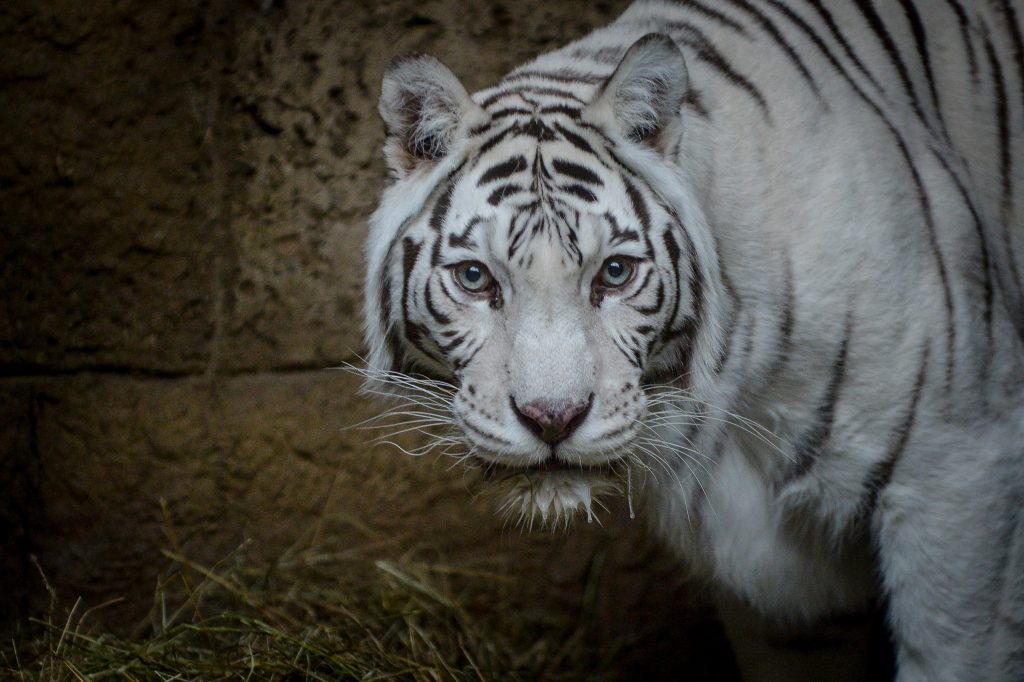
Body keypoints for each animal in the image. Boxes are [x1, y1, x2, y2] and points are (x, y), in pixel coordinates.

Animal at [360, 2, 1024, 675]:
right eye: (475, 278)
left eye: (615, 272)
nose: (553, 419)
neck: (738, 376)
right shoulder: (781, 591)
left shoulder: (962, 470)